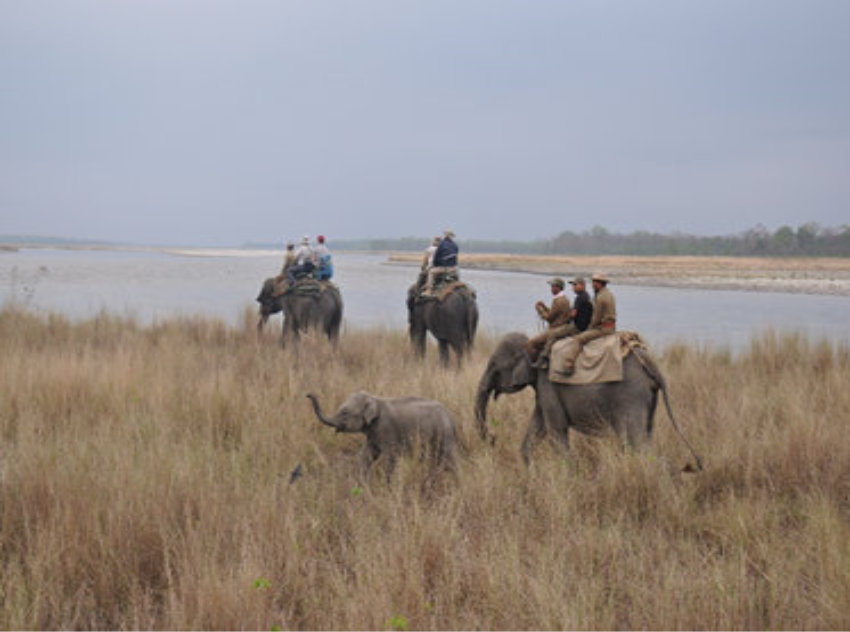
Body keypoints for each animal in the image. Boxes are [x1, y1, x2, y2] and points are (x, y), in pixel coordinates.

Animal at [306, 391, 459, 479]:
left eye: (345, 412)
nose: (307, 394)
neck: (374, 399)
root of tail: (451, 417)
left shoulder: (386, 429)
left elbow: (390, 456)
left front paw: (388, 487)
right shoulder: (373, 433)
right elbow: (367, 454)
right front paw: (361, 483)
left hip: (443, 434)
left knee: (447, 457)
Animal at [474, 332, 703, 469]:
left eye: (495, 367)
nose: (492, 438)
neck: (536, 346)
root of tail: (649, 362)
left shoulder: (548, 384)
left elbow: (555, 429)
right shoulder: (543, 389)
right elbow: (538, 426)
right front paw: (531, 470)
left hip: (630, 394)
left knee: (635, 444)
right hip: (647, 397)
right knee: (644, 437)